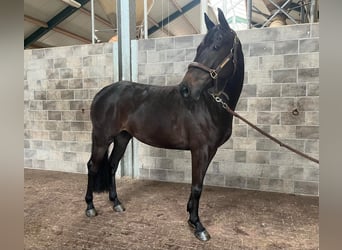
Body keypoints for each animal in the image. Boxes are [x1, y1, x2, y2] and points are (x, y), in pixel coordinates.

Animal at [85, 8, 246, 241]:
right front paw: (198, 225)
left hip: (122, 138)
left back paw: (116, 203)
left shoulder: (210, 151)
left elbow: (199, 183)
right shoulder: (200, 150)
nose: (186, 89)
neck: (210, 105)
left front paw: (190, 216)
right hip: (101, 138)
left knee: (113, 165)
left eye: (216, 46)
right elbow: (197, 186)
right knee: (92, 166)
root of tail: (102, 93)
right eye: (199, 47)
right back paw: (90, 207)